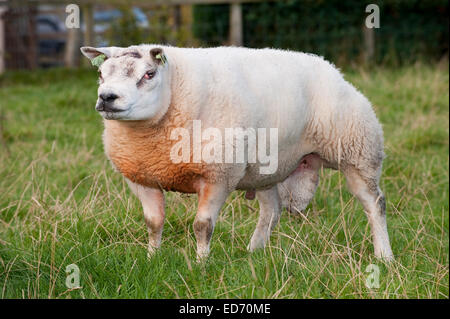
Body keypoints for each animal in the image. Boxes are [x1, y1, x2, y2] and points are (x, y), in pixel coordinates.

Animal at [80, 43, 394, 262]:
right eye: (100, 74)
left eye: (149, 74)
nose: (107, 97)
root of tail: (330, 68)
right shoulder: (142, 177)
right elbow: (153, 224)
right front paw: (151, 258)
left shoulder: (218, 175)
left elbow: (202, 226)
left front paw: (200, 264)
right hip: (266, 168)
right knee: (271, 210)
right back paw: (255, 250)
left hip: (358, 152)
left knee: (375, 204)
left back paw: (384, 255)